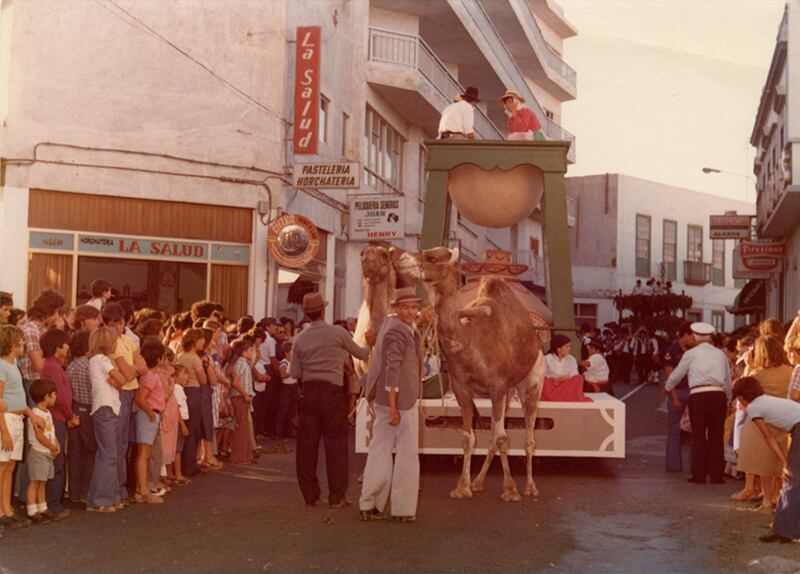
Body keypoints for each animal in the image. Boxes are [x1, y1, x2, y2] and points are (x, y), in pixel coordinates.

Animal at [398, 248, 548, 504]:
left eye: (432, 257)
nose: (399, 257)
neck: (470, 339)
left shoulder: (497, 388)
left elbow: (502, 438)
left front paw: (510, 490)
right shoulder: (463, 390)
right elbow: (470, 438)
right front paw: (462, 486)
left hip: (531, 383)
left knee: (528, 437)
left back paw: (530, 487)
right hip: (509, 392)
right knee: (495, 434)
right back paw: (478, 482)